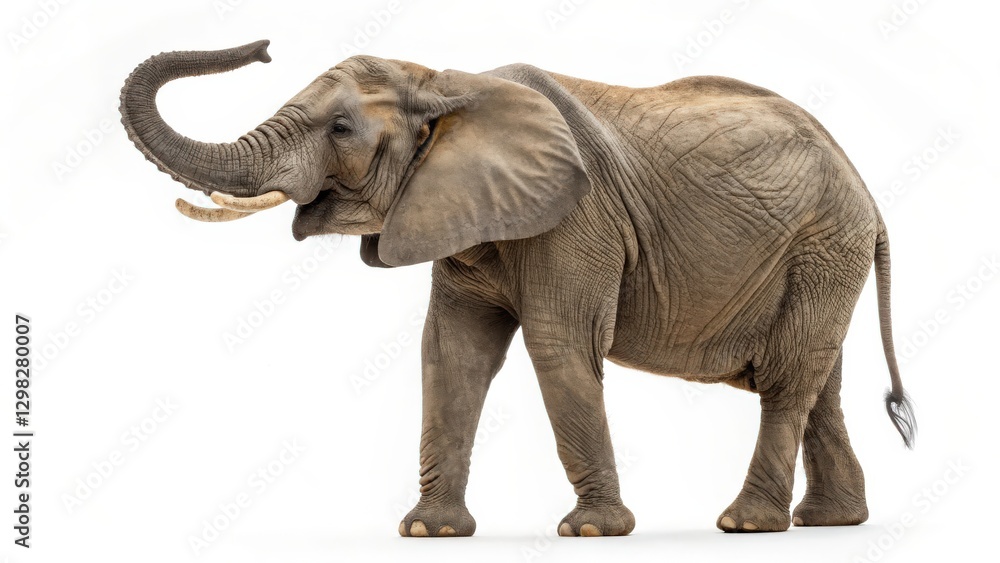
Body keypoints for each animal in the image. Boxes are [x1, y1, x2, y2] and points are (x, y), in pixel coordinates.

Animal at [119, 40, 916, 537]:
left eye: (342, 127)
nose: (261, 46)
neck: (444, 82)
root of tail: (870, 196)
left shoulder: (578, 220)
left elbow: (558, 347)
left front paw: (592, 531)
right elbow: (452, 355)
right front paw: (428, 530)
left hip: (822, 245)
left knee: (787, 378)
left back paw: (746, 523)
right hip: (820, 256)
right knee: (815, 383)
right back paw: (829, 522)